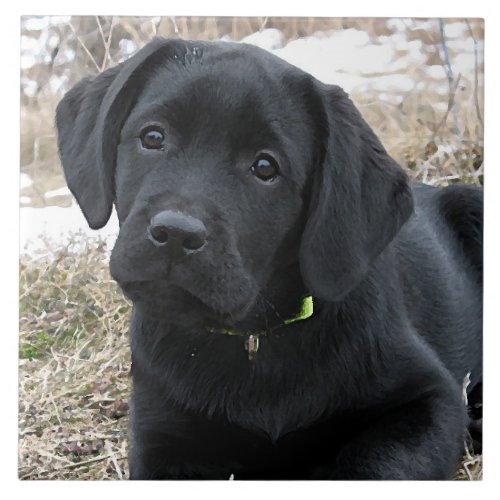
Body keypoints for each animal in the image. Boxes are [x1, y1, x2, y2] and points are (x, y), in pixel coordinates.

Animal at [56, 37, 482, 478]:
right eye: (153, 137)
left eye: (265, 166)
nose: (175, 233)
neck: (255, 341)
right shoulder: (161, 434)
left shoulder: (431, 398)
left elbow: (378, 464)